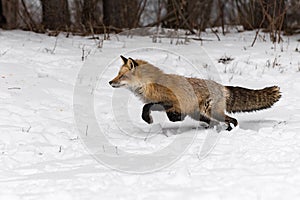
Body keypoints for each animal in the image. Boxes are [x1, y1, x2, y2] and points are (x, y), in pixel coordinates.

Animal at [110, 55, 282, 130]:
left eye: (121, 76)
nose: (110, 82)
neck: (149, 84)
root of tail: (222, 86)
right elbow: (148, 108)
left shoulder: (171, 102)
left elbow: (148, 107)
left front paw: (153, 119)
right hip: (199, 113)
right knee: (218, 121)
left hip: (212, 112)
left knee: (232, 120)